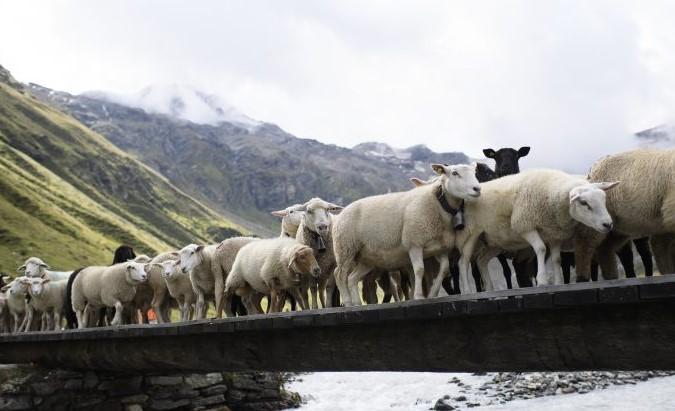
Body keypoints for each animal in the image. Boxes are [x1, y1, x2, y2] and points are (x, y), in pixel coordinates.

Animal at [332, 163, 480, 304]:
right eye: (455, 173)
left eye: (474, 173)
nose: (477, 189)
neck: (437, 204)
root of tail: (342, 211)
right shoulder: (414, 243)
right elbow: (419, 270)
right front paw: (418, 296)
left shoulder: (441, 248)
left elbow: (444, 269)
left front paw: (432, 293)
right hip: (345, 248)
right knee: (339, 274)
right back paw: (347, 302)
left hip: (366, 259)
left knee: (352, 278)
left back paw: (356, 303)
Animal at [456, 168, 620, 292]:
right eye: (584, 203)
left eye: (604, 199)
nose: (608, 224)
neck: (550, 196)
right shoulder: (525, 225)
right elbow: (541, 248)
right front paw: (542, 281)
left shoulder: (554, 233)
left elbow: (556, 259)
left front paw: (558, 282)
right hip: (471, 233)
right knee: (463, 261)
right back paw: (467, 291)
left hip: (495, 241)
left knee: (481, 260)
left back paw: (489, 288)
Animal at [576, 150, 675, 282]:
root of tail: (592, 169)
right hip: (596, 219)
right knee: (586, 246)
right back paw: (583, 278)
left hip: (618, 228)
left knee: (605, 249)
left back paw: (611, 277)